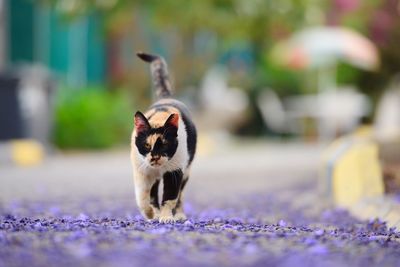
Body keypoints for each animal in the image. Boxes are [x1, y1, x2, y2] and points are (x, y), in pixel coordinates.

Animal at [131, 51, 197, 223]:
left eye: (165, 144)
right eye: (147, 145)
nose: (155, 156)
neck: (160, 116)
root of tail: (166, 98)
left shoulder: (175, 171)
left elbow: (170, 197)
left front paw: (167, 217)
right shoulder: (142, 171)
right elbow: (143, 197)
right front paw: (150, 214)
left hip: (187, 170)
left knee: (180, 196)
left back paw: (179, 215)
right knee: (153, 195)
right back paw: (154, 214)